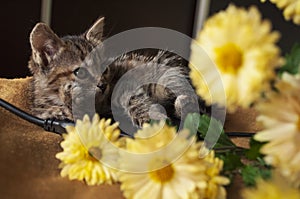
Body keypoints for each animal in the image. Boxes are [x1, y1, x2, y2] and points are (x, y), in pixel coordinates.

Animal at [28, 17, 206, 131]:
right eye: (80, 72)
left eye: (104, 68)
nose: (102, 85)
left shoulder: (125, 80)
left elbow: (132, 97)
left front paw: (152, 117)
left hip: (167, 71)